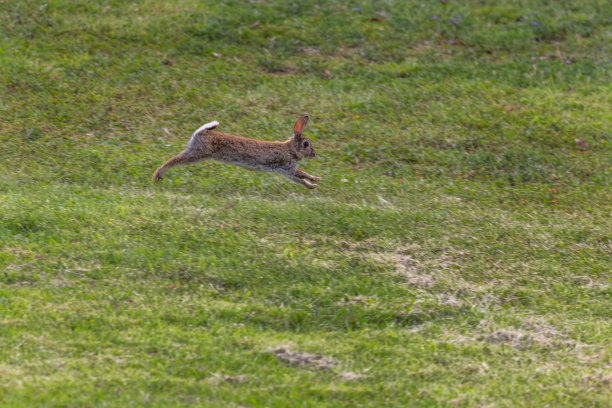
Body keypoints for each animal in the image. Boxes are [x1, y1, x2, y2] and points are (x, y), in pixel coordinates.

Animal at [152, 115, 320, 188]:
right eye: (306, 144)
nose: (314, 154)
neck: (290, 149)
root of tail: (201, 133)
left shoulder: (286, 172)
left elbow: (299, 179)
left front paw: (313, 183)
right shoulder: (287, 167)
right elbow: (301, 175)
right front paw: (316, 181)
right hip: (197, 153)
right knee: (173, 160)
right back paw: (157, 175)